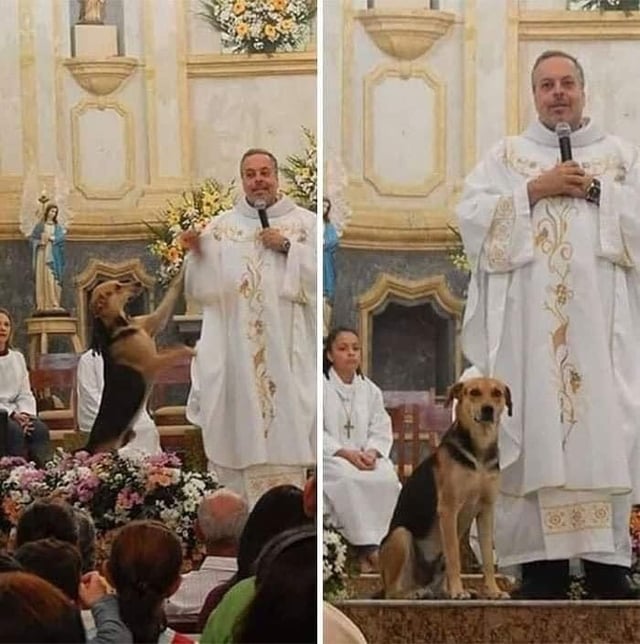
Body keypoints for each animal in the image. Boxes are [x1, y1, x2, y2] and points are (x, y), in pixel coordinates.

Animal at [84, 270, 196, 452]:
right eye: (117, 287)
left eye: (119, 283)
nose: (138, 283)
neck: (122, 326)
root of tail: (88, 445)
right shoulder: (152, 363)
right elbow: (179, 350)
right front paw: (193, 350)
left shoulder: (155, 320)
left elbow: (172, 290)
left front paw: (182, 271)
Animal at [380, 374, 510, 600]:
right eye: (474, 392)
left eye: (497, 393)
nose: (488, 409)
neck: (479, 451)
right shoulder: (449, 509)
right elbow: (454, 558)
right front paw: (458, 591)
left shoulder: (486, 511)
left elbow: (486, 557)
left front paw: (493, 590)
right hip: (400, 536)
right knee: (391, 591)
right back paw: (412, 593)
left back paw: (442, 591)